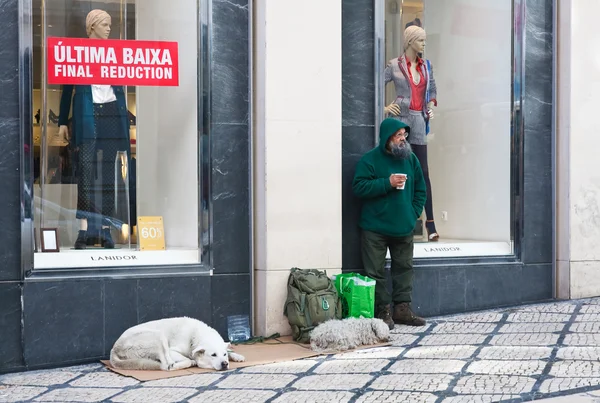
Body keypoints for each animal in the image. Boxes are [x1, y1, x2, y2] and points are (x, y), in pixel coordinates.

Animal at [110, 318, 244, 372]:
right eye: (213, 355)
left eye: (224, 354)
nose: (225, 364)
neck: (193, 336)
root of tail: (114, 349)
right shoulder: (172, 351)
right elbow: (186, 358)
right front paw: (192, 361)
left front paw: (237, 356)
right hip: (158, 336)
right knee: (166, 365)